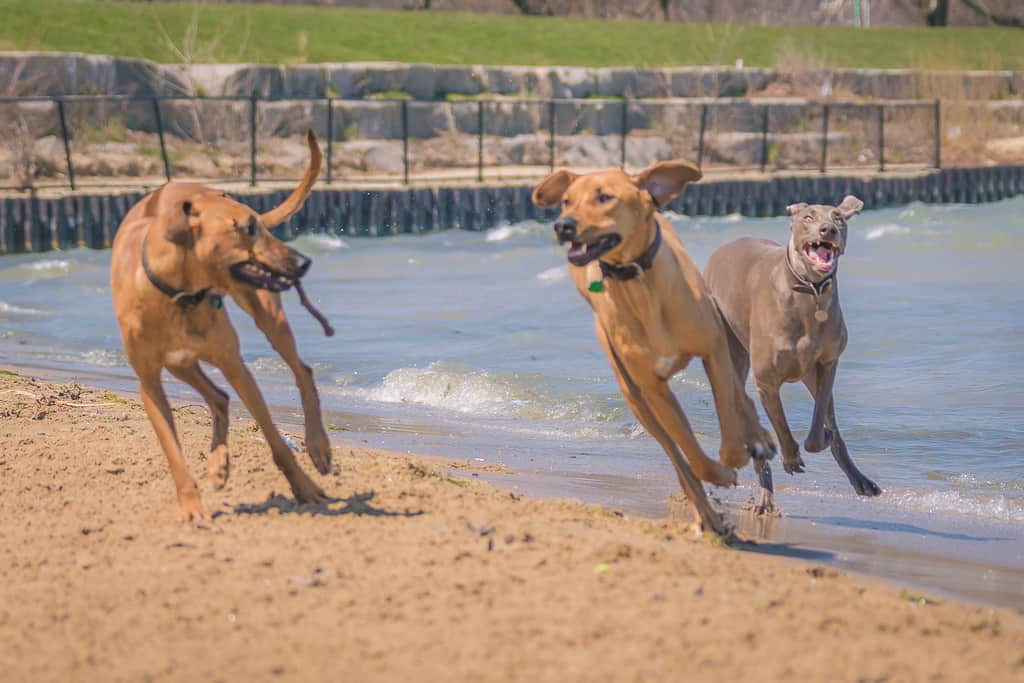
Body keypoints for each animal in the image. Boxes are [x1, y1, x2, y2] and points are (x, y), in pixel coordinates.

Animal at [113, 129, 333, 524]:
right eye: (248, 229)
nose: (303, 261)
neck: (180, 295)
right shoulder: (149, 384)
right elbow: (174, 455)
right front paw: (191, 507)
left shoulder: (235, 365)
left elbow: (277, 443)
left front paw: (304, 488)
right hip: (181, 364)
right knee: (218, 397)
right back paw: (218, 462)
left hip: (266, 317)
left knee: (302, 372)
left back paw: (318, 446)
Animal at [532, 162, 770, 536]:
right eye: (566, 201)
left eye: (604, 197)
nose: (563, 225)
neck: (639, 284)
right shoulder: (653, 387)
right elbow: (692, 453)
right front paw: (721, 475)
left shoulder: (713, 349)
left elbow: (730, 420)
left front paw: (744, 449)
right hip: (633, 395)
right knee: (678, 458)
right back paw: (708, 517)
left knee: (739, 396)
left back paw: (760, 440)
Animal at [704, 194, 880, 516]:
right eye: (808, 217)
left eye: (838, 217)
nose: (827, 230)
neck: (810, 292)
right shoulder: (766, 381)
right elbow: (781, 428)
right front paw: (789, 458)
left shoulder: (826, 365)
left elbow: (820, 426)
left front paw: (820, 439)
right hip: (731, 356)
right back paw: (764, 497)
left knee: (831, 427)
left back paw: (860, 480)